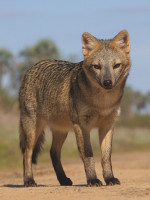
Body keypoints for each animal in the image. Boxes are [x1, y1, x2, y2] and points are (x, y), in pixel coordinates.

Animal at [18, 30, 131, 187]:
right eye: (97, 66)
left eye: (116, 65)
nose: (107, 82)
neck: (102, 103)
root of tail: (32, 67)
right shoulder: (82, 126)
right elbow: (88, 155)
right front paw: (92, 179)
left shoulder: (108, 125)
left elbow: (106, 157)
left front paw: (109, 178)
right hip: (33, 131)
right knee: (27, 154)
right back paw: (29, 180)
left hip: (61, 132)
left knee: (53, 152)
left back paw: (63, 179)